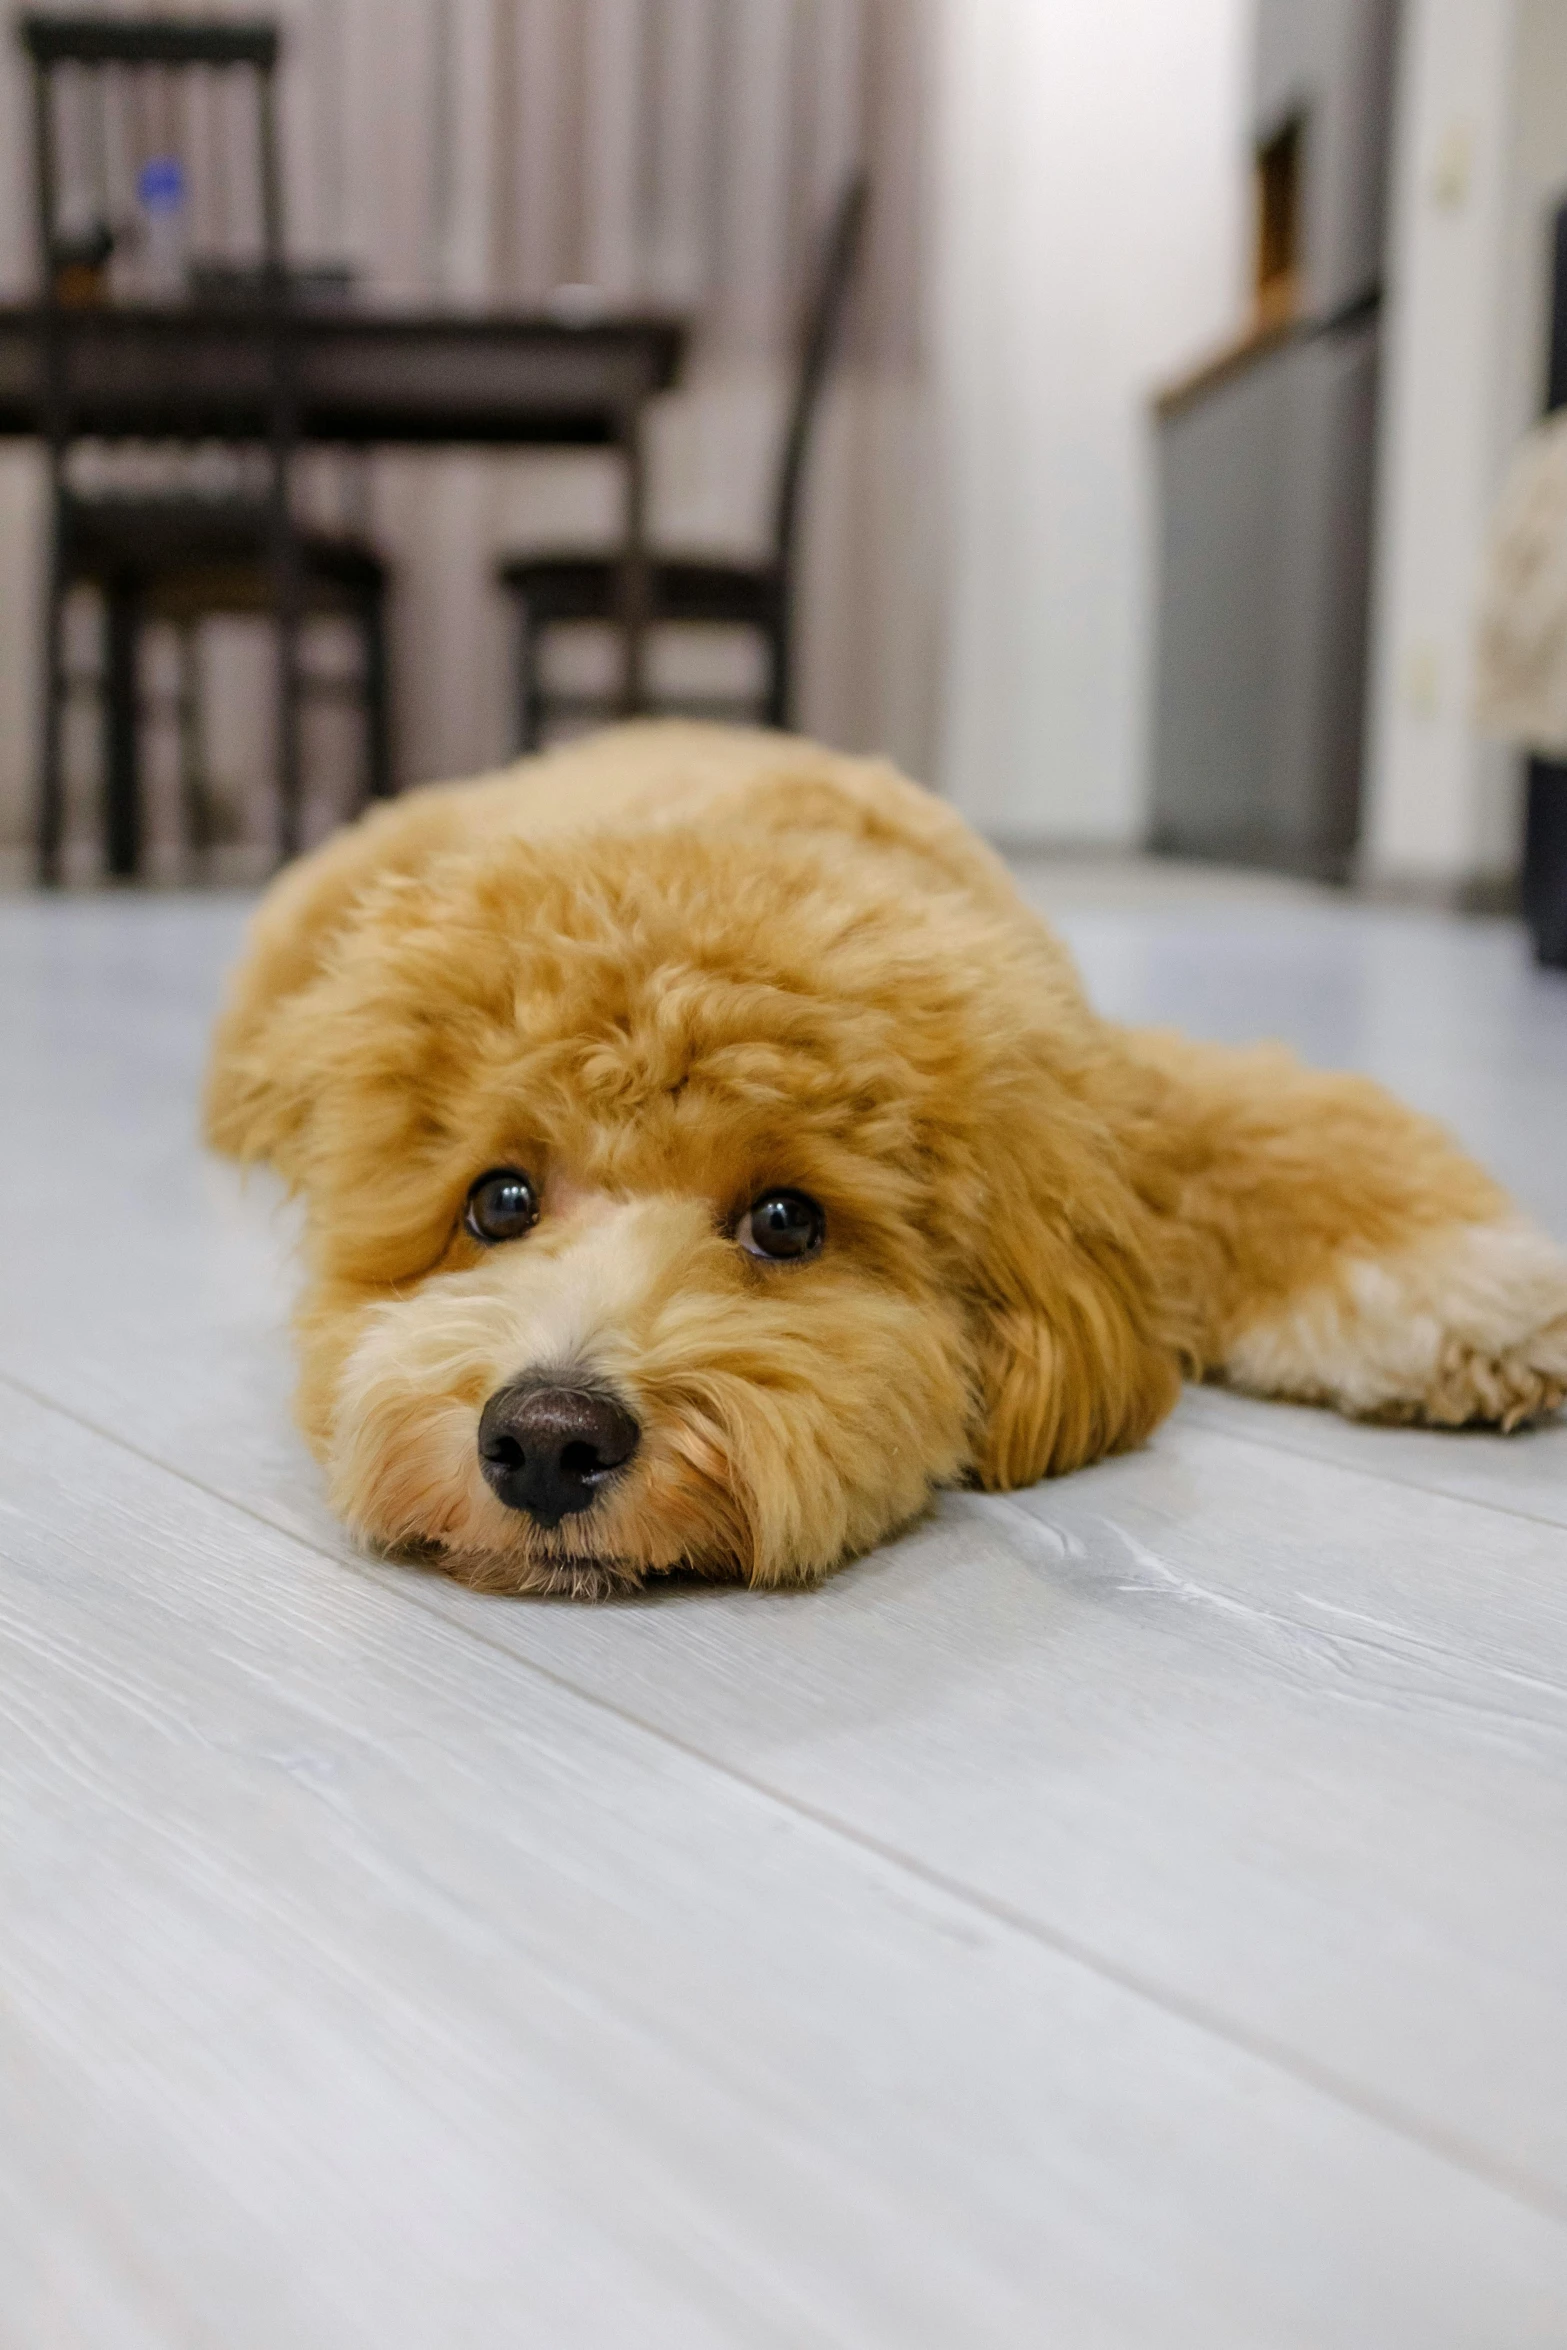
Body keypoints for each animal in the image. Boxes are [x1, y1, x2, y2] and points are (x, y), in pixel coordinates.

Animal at [207, 719, 1567, 1597]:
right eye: (496, 1201)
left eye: (785, 1221)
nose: (547, 1438)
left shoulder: (1119, 1097)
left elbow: (1290, 1130)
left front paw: (1470, 1294)